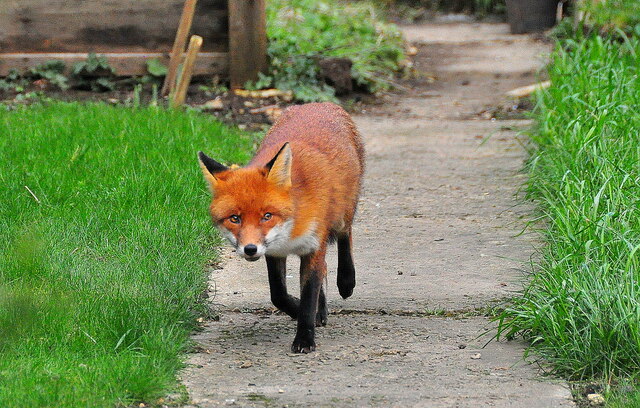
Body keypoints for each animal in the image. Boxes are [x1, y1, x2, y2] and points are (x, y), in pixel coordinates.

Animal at [198, 103, 362, 354]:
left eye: (267, 216)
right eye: (235, 218)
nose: (250, 249)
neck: (291, 229)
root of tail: (319, 104)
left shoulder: (314, 246)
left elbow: (308, 297)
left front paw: (304, 338)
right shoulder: (274, 252)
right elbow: (279, 295)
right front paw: (302, 310)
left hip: (342, 214)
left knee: (346, 237)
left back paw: (346, 281)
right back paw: (323, 309)